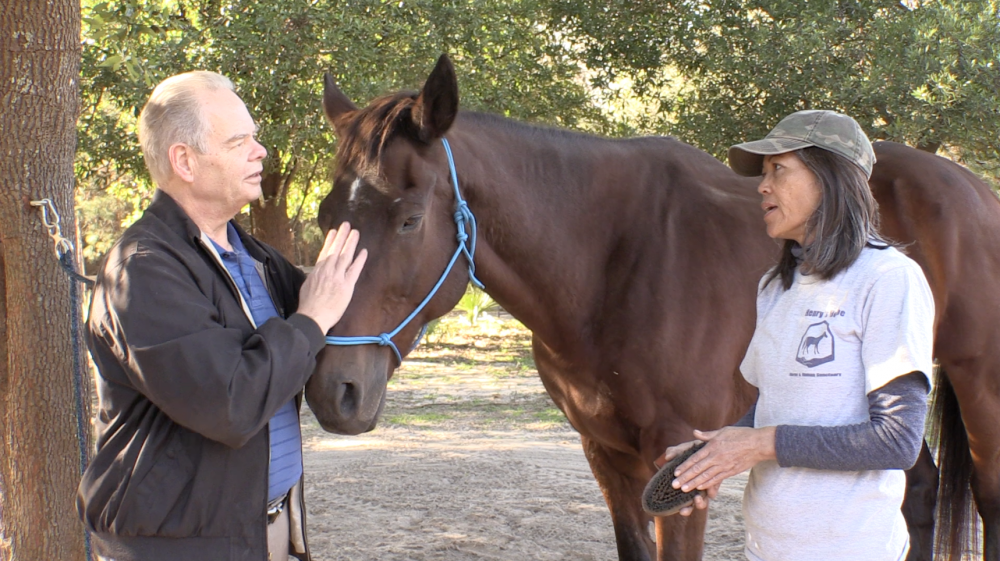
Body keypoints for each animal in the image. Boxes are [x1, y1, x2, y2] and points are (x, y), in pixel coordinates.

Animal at [304, 53, 1000, 560]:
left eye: (409, 220)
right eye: (325, 216)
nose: (333, 391)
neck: (612, 266)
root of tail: (972, 187)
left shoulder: (684, 464)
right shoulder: (607, 457)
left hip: (978, 380)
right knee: (918, 490)